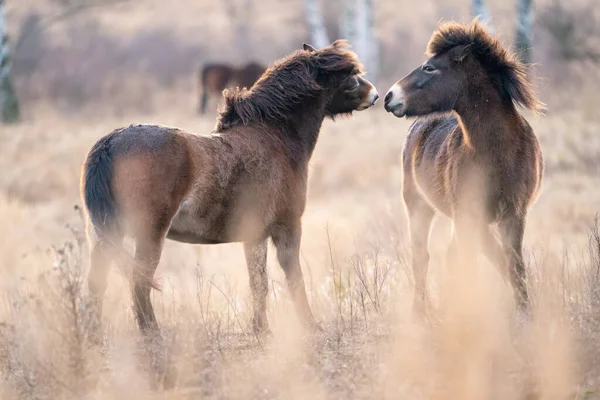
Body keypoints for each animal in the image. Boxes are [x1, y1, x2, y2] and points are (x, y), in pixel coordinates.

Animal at [81, 39, 378, 334]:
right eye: (348, 75)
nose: (374, 95)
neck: (274, 136)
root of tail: (110, 143)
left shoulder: (255, 235)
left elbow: (258, 283)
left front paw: (261, 329)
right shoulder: (288, 227)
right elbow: (291, 278)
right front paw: (308, 325)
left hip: (106, 234)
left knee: (98, 283)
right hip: (149, 233)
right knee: (139, 282)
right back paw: (153, 335)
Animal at [384, 20, 544, 314]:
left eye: (429, 67)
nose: (389, 97)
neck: (498, 153)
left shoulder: (514, 214)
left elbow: (512, 262)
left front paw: (524, 310)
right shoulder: (469, 215)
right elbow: (471, 262)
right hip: (419, 207)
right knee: (422, 256)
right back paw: (420, 311)